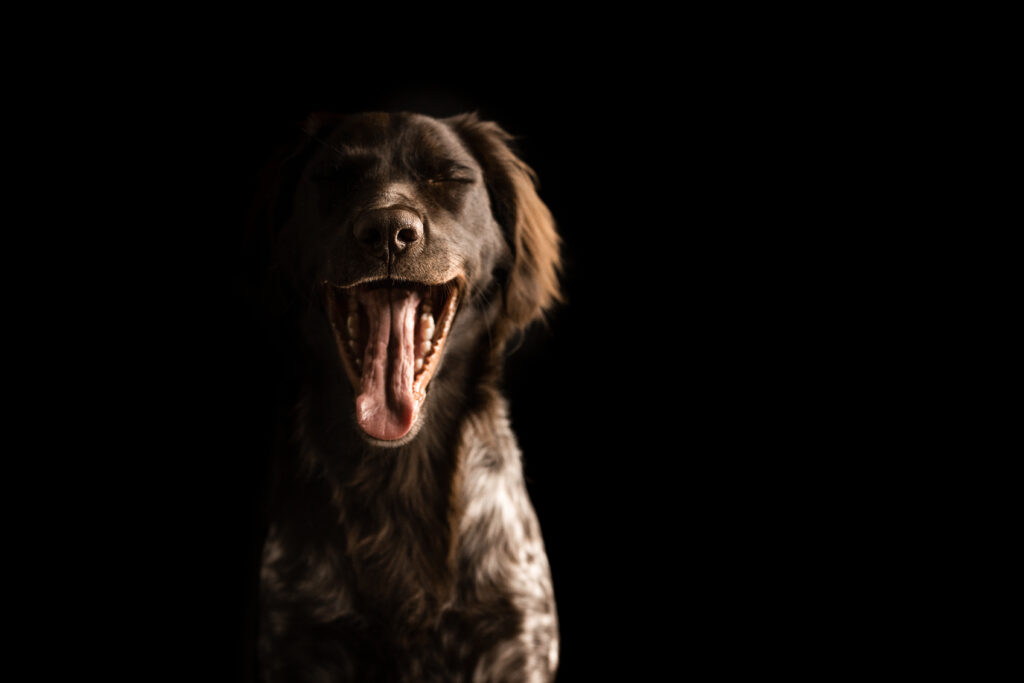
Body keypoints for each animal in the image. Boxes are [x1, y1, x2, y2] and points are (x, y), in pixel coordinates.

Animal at [256, 113, 561, 683]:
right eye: (335, 177)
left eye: (449, 178)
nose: (387, 231)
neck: (398, 471)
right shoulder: (298, 635)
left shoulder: (517, 640)